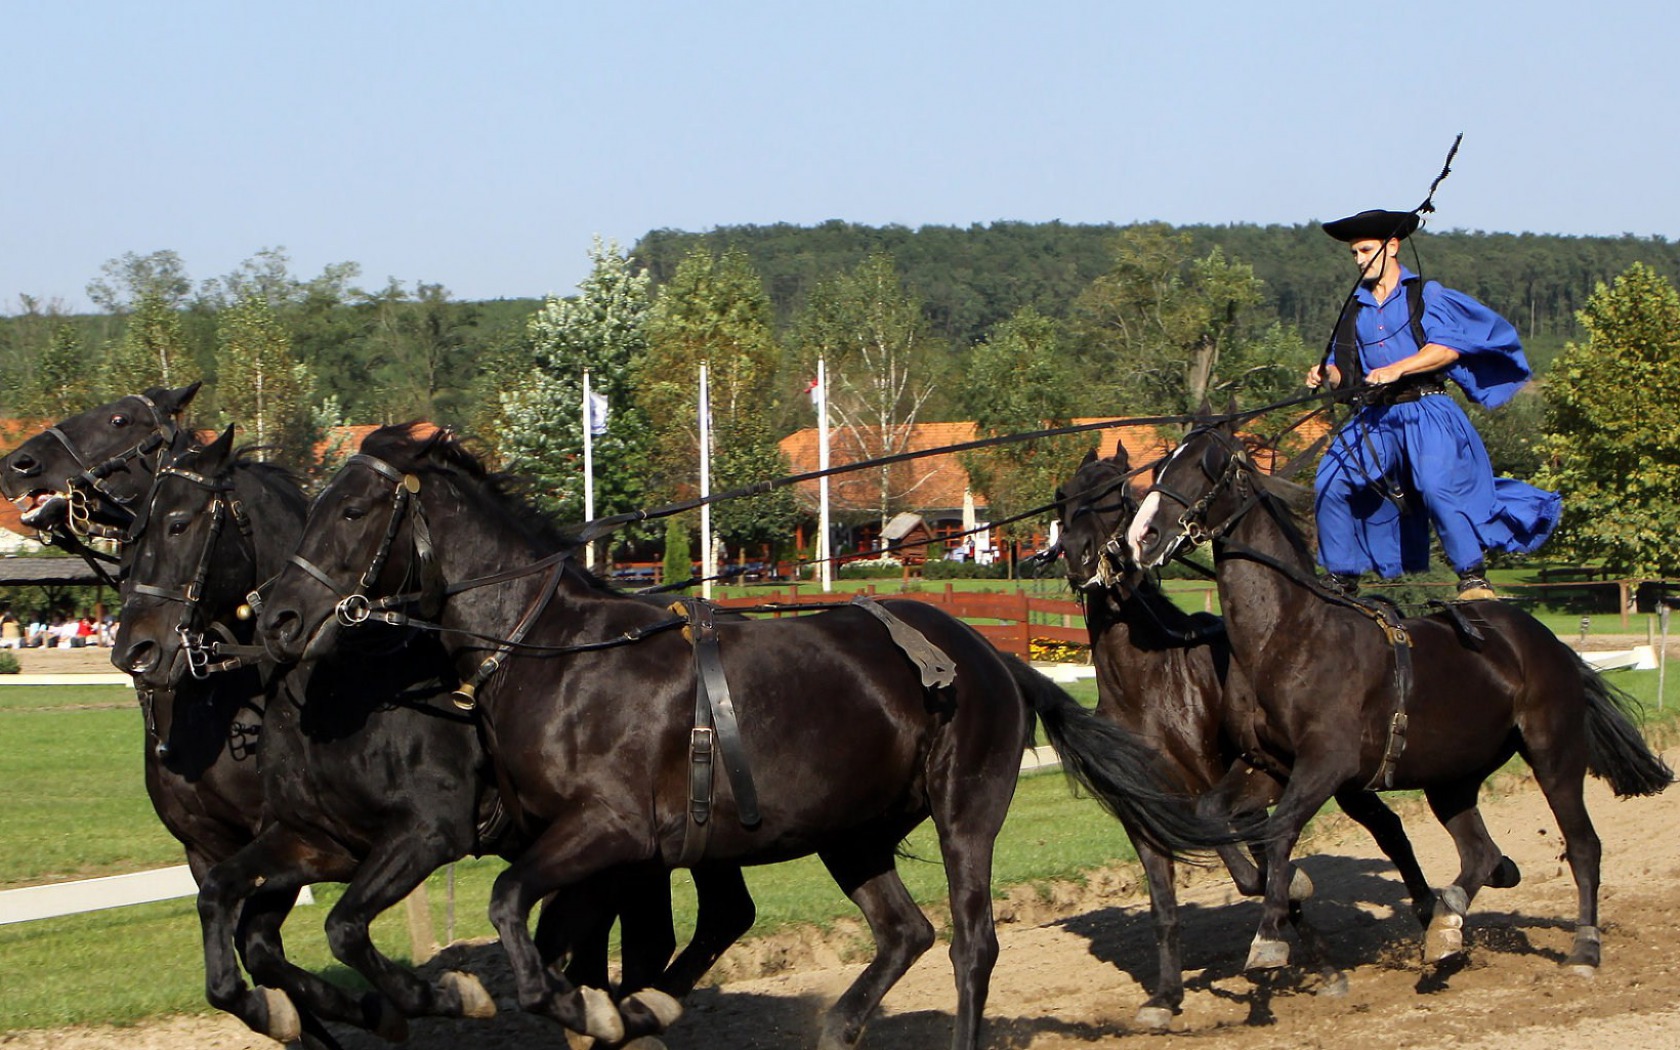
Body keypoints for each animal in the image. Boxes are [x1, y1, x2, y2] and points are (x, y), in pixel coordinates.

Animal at [111, 428, 756, 1048]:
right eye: (132, 536)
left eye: (178, 522)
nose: (135, 649)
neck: (349, 685)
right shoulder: (315, 842)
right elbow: (236, 918)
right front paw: (299, 1009)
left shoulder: (426, 833)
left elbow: (339, 930)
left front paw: (442, 998)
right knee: (702, 920)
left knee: (700, 922)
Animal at [255, 426, 1243, 1048]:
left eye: (353, 512)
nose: (278, 613)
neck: (562, 655)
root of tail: (993, 658)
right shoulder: (571, 846)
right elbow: (515, 937)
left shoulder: (610, 833)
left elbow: (510, 917)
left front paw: (585, 1009)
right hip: (854, 832)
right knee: (906, 935)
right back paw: (838, 1027)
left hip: (963, 815)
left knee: (971, 945)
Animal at [1122, 414, 1673, 974]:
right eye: (1163, 462)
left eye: (1202, 467)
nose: (1142, 536)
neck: (1285, 634)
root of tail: (1546, 642)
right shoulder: (1268, 764)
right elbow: (1213, 815)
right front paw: (1275, 889)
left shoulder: (1326, 765)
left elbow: (1280, 836)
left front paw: (1270, 934)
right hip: (1451, 777)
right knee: (1480, 854)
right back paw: (1447, 923)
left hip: (1553, 754)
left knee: (1582, 846)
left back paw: (1583, 946)